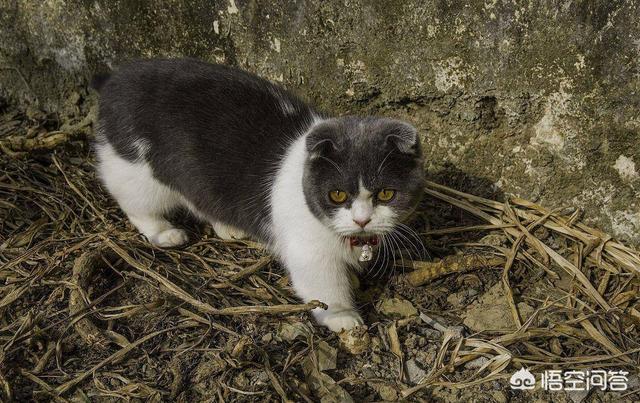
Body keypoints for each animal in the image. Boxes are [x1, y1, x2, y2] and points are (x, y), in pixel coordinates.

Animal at [91, 59, 424, 332]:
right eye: (338, 195)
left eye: (386, 193)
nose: (362, 220)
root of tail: (114, 80)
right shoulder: (309, 253)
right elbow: (326, 290)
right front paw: (342, 316)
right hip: (137, 172)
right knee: (134, 202)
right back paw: (164, 232)